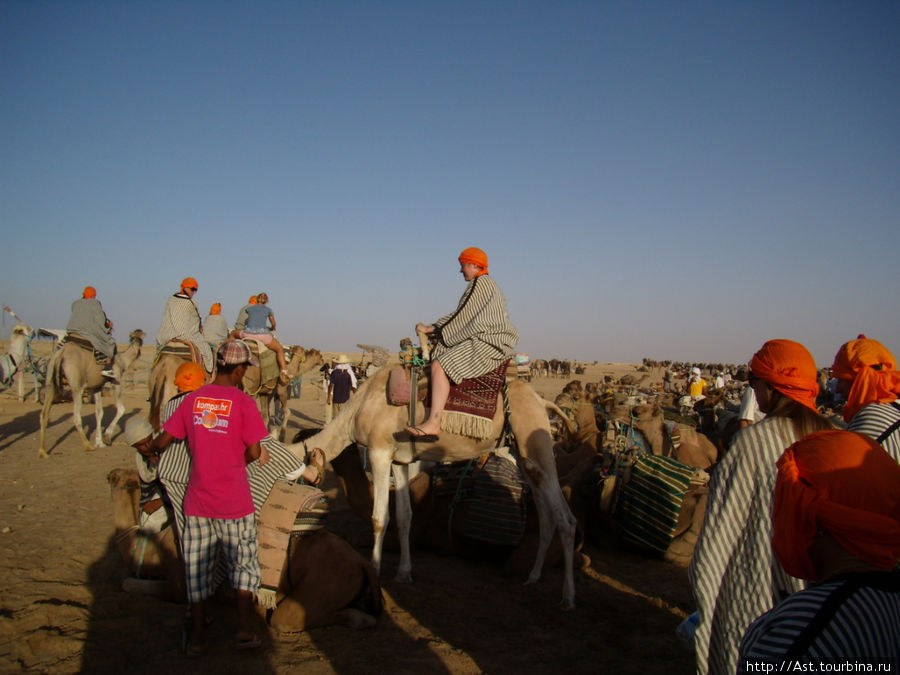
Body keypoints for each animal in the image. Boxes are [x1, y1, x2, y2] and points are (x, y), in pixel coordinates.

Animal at [106, 470, 384, 632]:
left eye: (115, 478)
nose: (110, 475)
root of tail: (361, 562)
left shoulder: (179, 582)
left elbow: (129, 584)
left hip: (325, 583)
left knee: (286, 620)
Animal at [288, 368, 584, 608]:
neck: (358, 409)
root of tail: (542, 402)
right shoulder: (400, 460)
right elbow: (404, 517)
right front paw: (404, 573)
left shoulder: (378, 452)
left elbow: (379, 518)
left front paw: (375, 570)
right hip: (524, 456)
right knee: (547, 517)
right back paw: (532, 578)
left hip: (538, 447)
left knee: (566, 519)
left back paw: (568, 597)